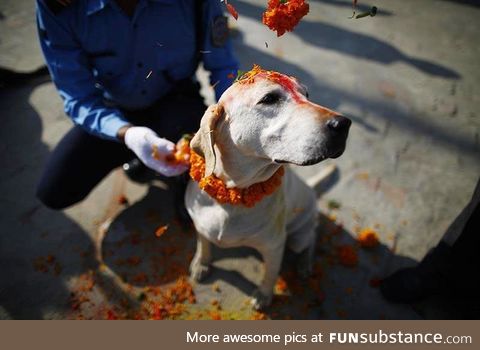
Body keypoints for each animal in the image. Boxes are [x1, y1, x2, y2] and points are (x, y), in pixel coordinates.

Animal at [185, 67, 348, 308]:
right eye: (270, 98)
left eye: (307, 95)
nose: (343, 124)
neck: (234, 193)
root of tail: (310, 189)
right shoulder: (200, 225)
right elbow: (203, 244)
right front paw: (201, 263)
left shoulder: (274, 246)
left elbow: (270, 273)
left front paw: (264, 295)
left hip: (298, 238)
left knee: (311, 238)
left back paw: (305, 263)